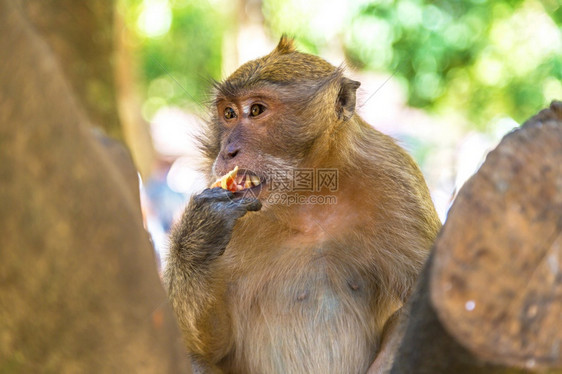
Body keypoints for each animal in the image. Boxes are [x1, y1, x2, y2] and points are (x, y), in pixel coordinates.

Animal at [164, 37, 440, 374]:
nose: (227, 151)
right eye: (228, 113)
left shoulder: (399, 183)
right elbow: (207, 344)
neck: (307, 200)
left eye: (256, 110)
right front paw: (198, 237)